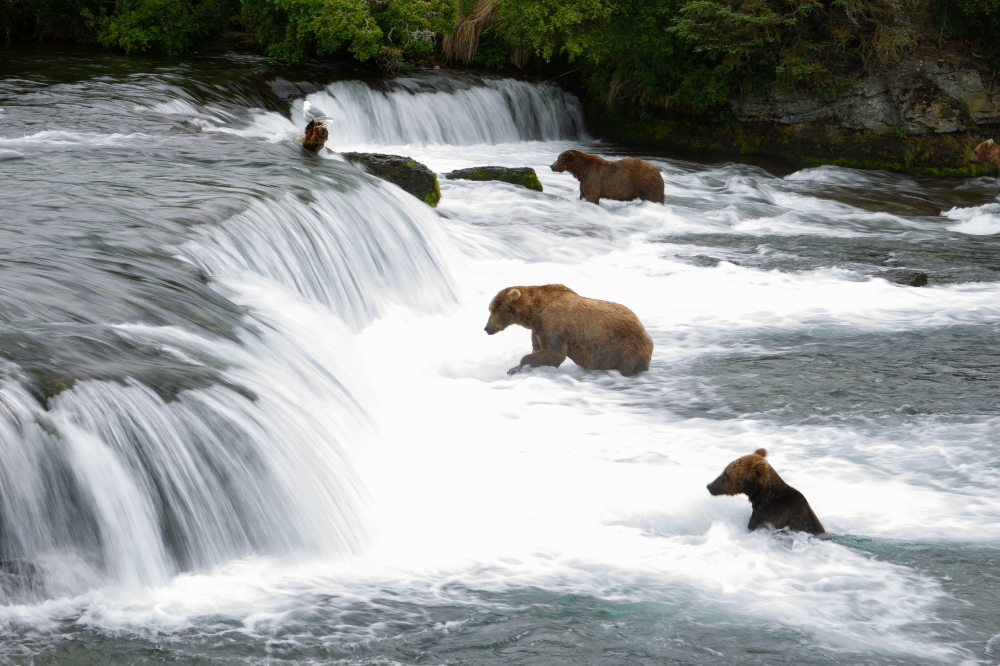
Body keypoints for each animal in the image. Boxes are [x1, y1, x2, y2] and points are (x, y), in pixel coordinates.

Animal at [484, 282, 656, 376]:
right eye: (490, 309)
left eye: (494, 310)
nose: (487, 328)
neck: (534, 313)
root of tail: (647, 334)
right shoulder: (538, 329)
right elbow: (540, 349)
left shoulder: (553, 324)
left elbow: (555, 353)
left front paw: (516, 367)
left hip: (626, 345)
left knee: (628, 363)